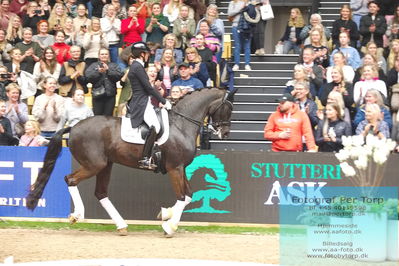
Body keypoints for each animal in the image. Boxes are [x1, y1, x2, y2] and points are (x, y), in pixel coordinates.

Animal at [25, 88, 234, 236]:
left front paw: (165, 215)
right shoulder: (175, 168)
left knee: (100, 193)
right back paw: (78, 215)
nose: (225, 134)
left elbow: (189, 196)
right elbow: (182, 197)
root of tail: (74, 127)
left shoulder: (181, 168)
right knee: (70, 180)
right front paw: (169, 227)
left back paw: (121, 225)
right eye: (228, 109)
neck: (181, 125)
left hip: (106, 165)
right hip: (94, 165)